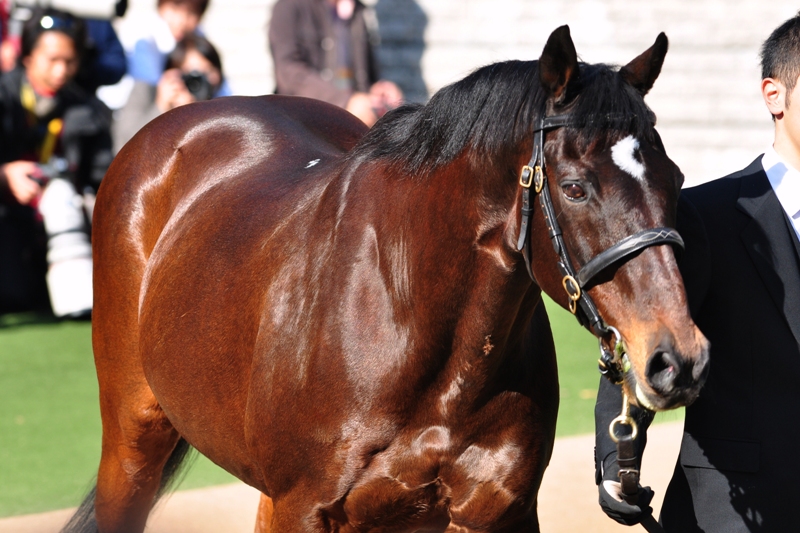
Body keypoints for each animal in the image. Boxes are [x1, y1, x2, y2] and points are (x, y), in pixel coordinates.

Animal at [64, 25, 709, 533]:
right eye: (575, 188)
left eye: (675, 178)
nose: (678, 359)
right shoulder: (305, 510)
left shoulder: (498, 513)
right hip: (132, 443)